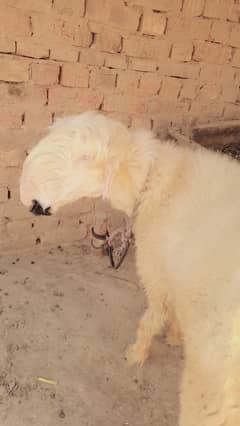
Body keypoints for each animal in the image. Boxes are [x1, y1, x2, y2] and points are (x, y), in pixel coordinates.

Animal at [20, 111, 240, 424]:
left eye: (86, 157)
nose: (28, 195)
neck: (156, 182)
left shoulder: (157, 274)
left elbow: (151, 319)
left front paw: (136, 354)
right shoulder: (175, 274)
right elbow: (175, 312)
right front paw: (176, 337)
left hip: (211, 392)